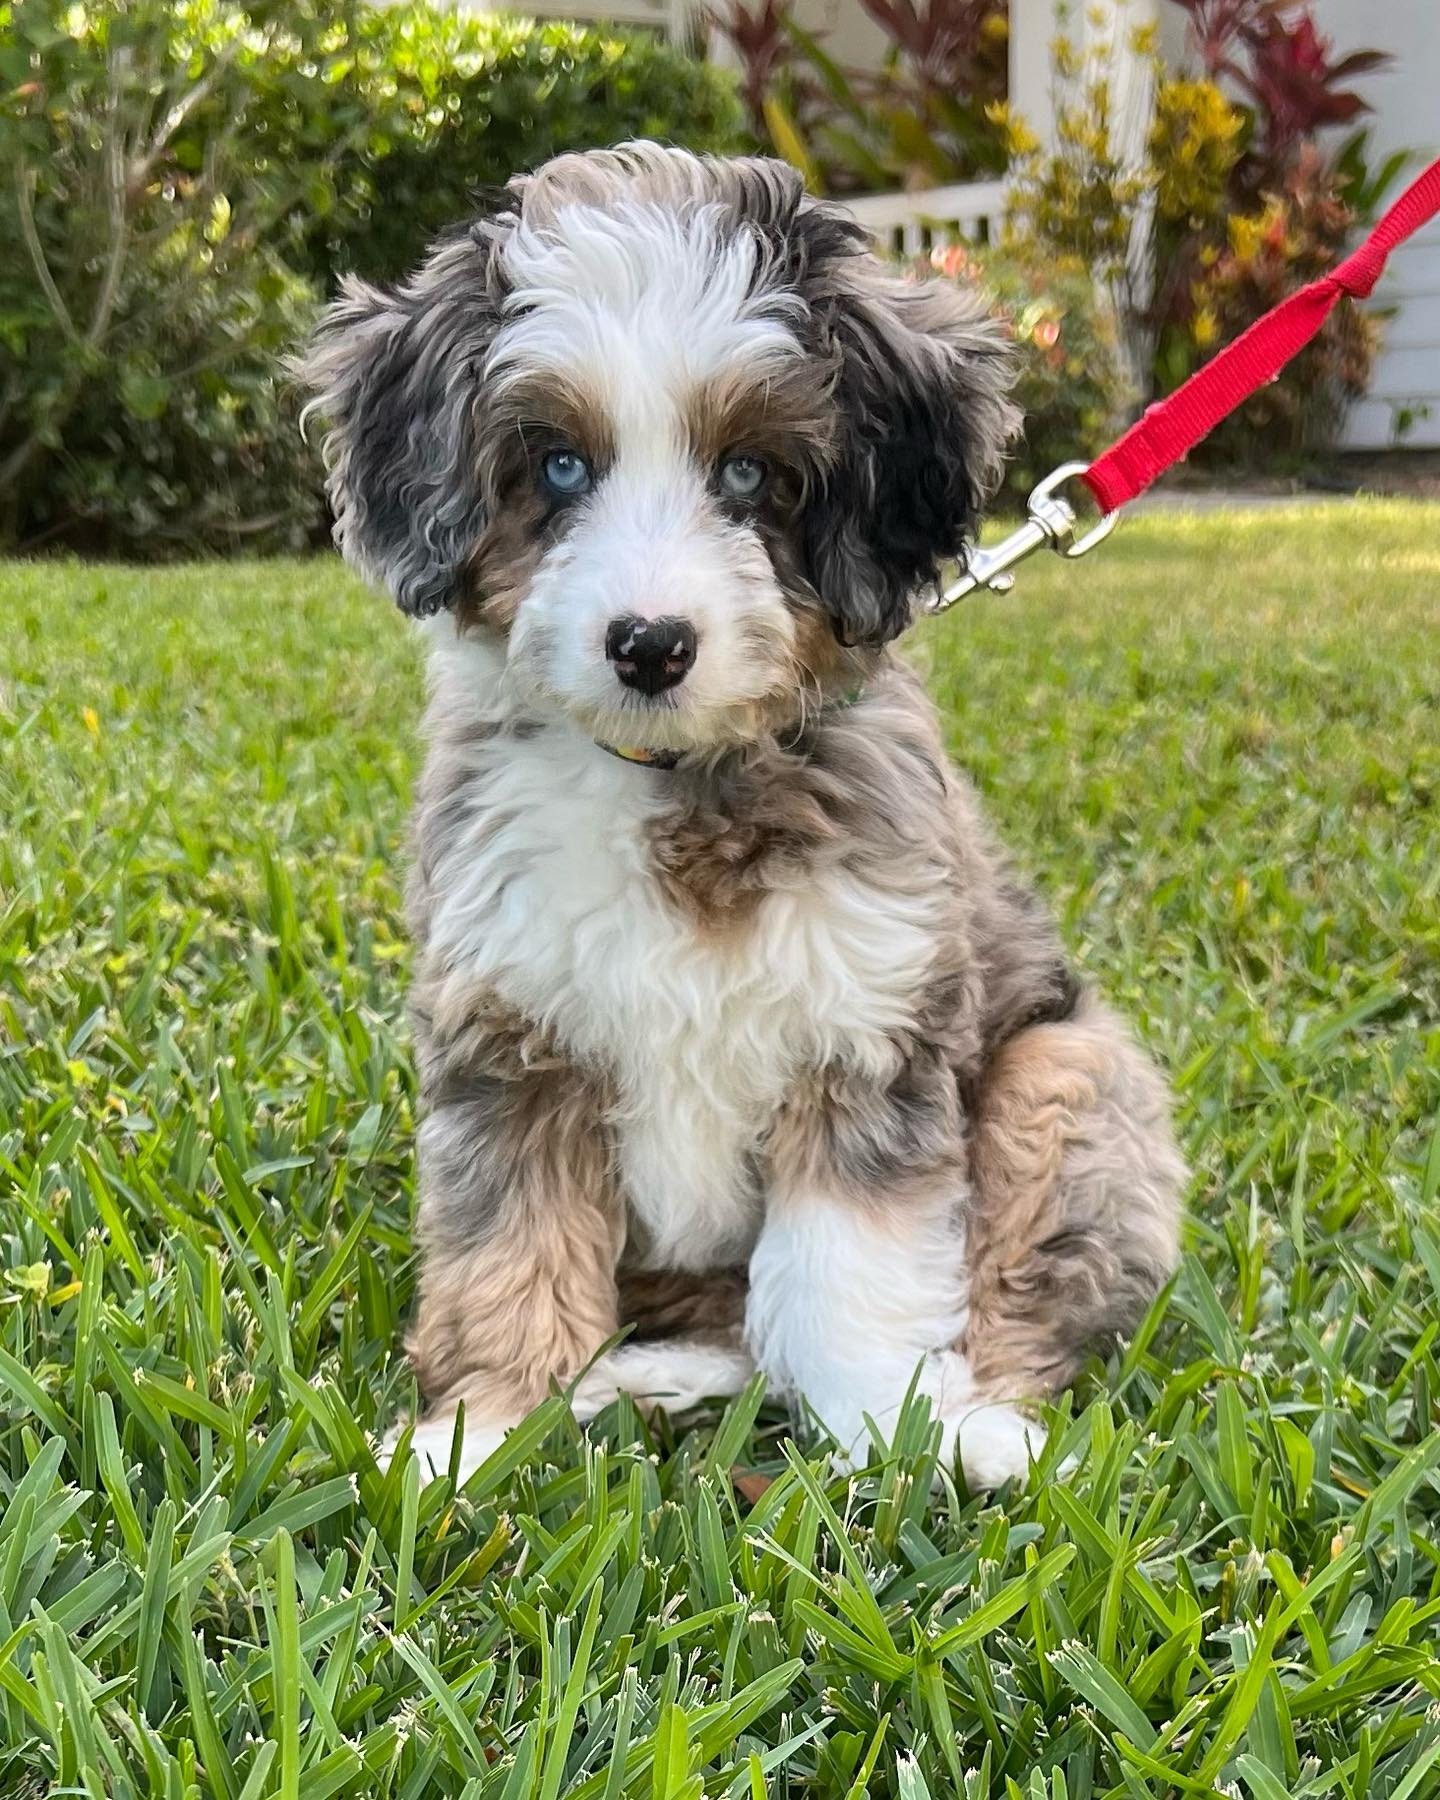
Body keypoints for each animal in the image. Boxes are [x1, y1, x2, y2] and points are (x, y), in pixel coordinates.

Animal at [301, 142, 1185, 1489]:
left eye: (750, 474)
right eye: (559, 466)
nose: (651, 644)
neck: (678, 777)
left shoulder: (870, 1027)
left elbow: (848, 1268)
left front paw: (893, 1428)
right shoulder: (509, 1034)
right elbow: (510, 1249)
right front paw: (483, 1431)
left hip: (1067, 1074)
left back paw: (984, 1428)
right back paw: (646, 1379)